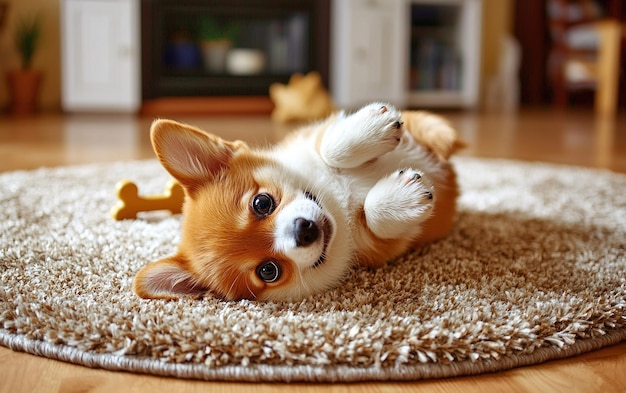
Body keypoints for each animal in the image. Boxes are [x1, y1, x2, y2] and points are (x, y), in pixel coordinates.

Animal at [134, 103, 460, 300]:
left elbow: (329, 147)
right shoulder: (380, 246)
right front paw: (406, 198)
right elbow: (375, 217)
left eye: (262, 203)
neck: (339, 200)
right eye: (268, 271)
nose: (304, 231)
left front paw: (373, 126)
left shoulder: (310, 137)